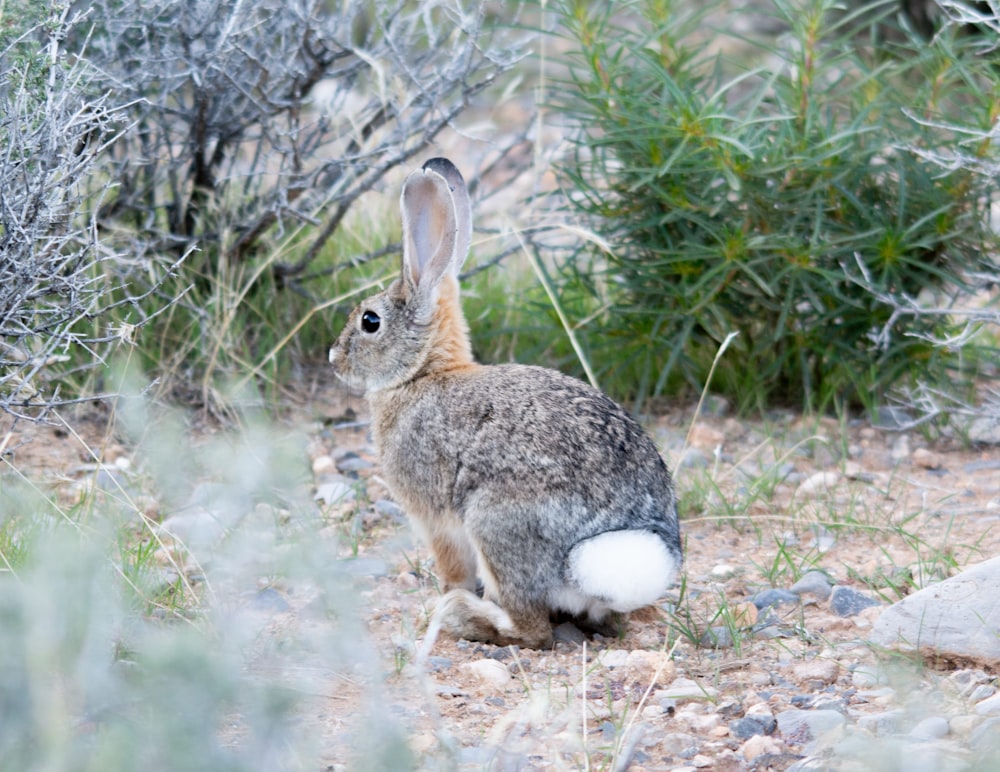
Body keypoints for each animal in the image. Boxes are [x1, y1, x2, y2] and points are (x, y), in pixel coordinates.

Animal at [332, 155, 684, 644]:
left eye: (370, 321)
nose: (334, 358)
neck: (423, 372)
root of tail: (603, 561)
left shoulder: (436, 521)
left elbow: (452, 568)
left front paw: (446, 596)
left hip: (494, 522)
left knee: (531, 629)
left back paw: (464, 614)